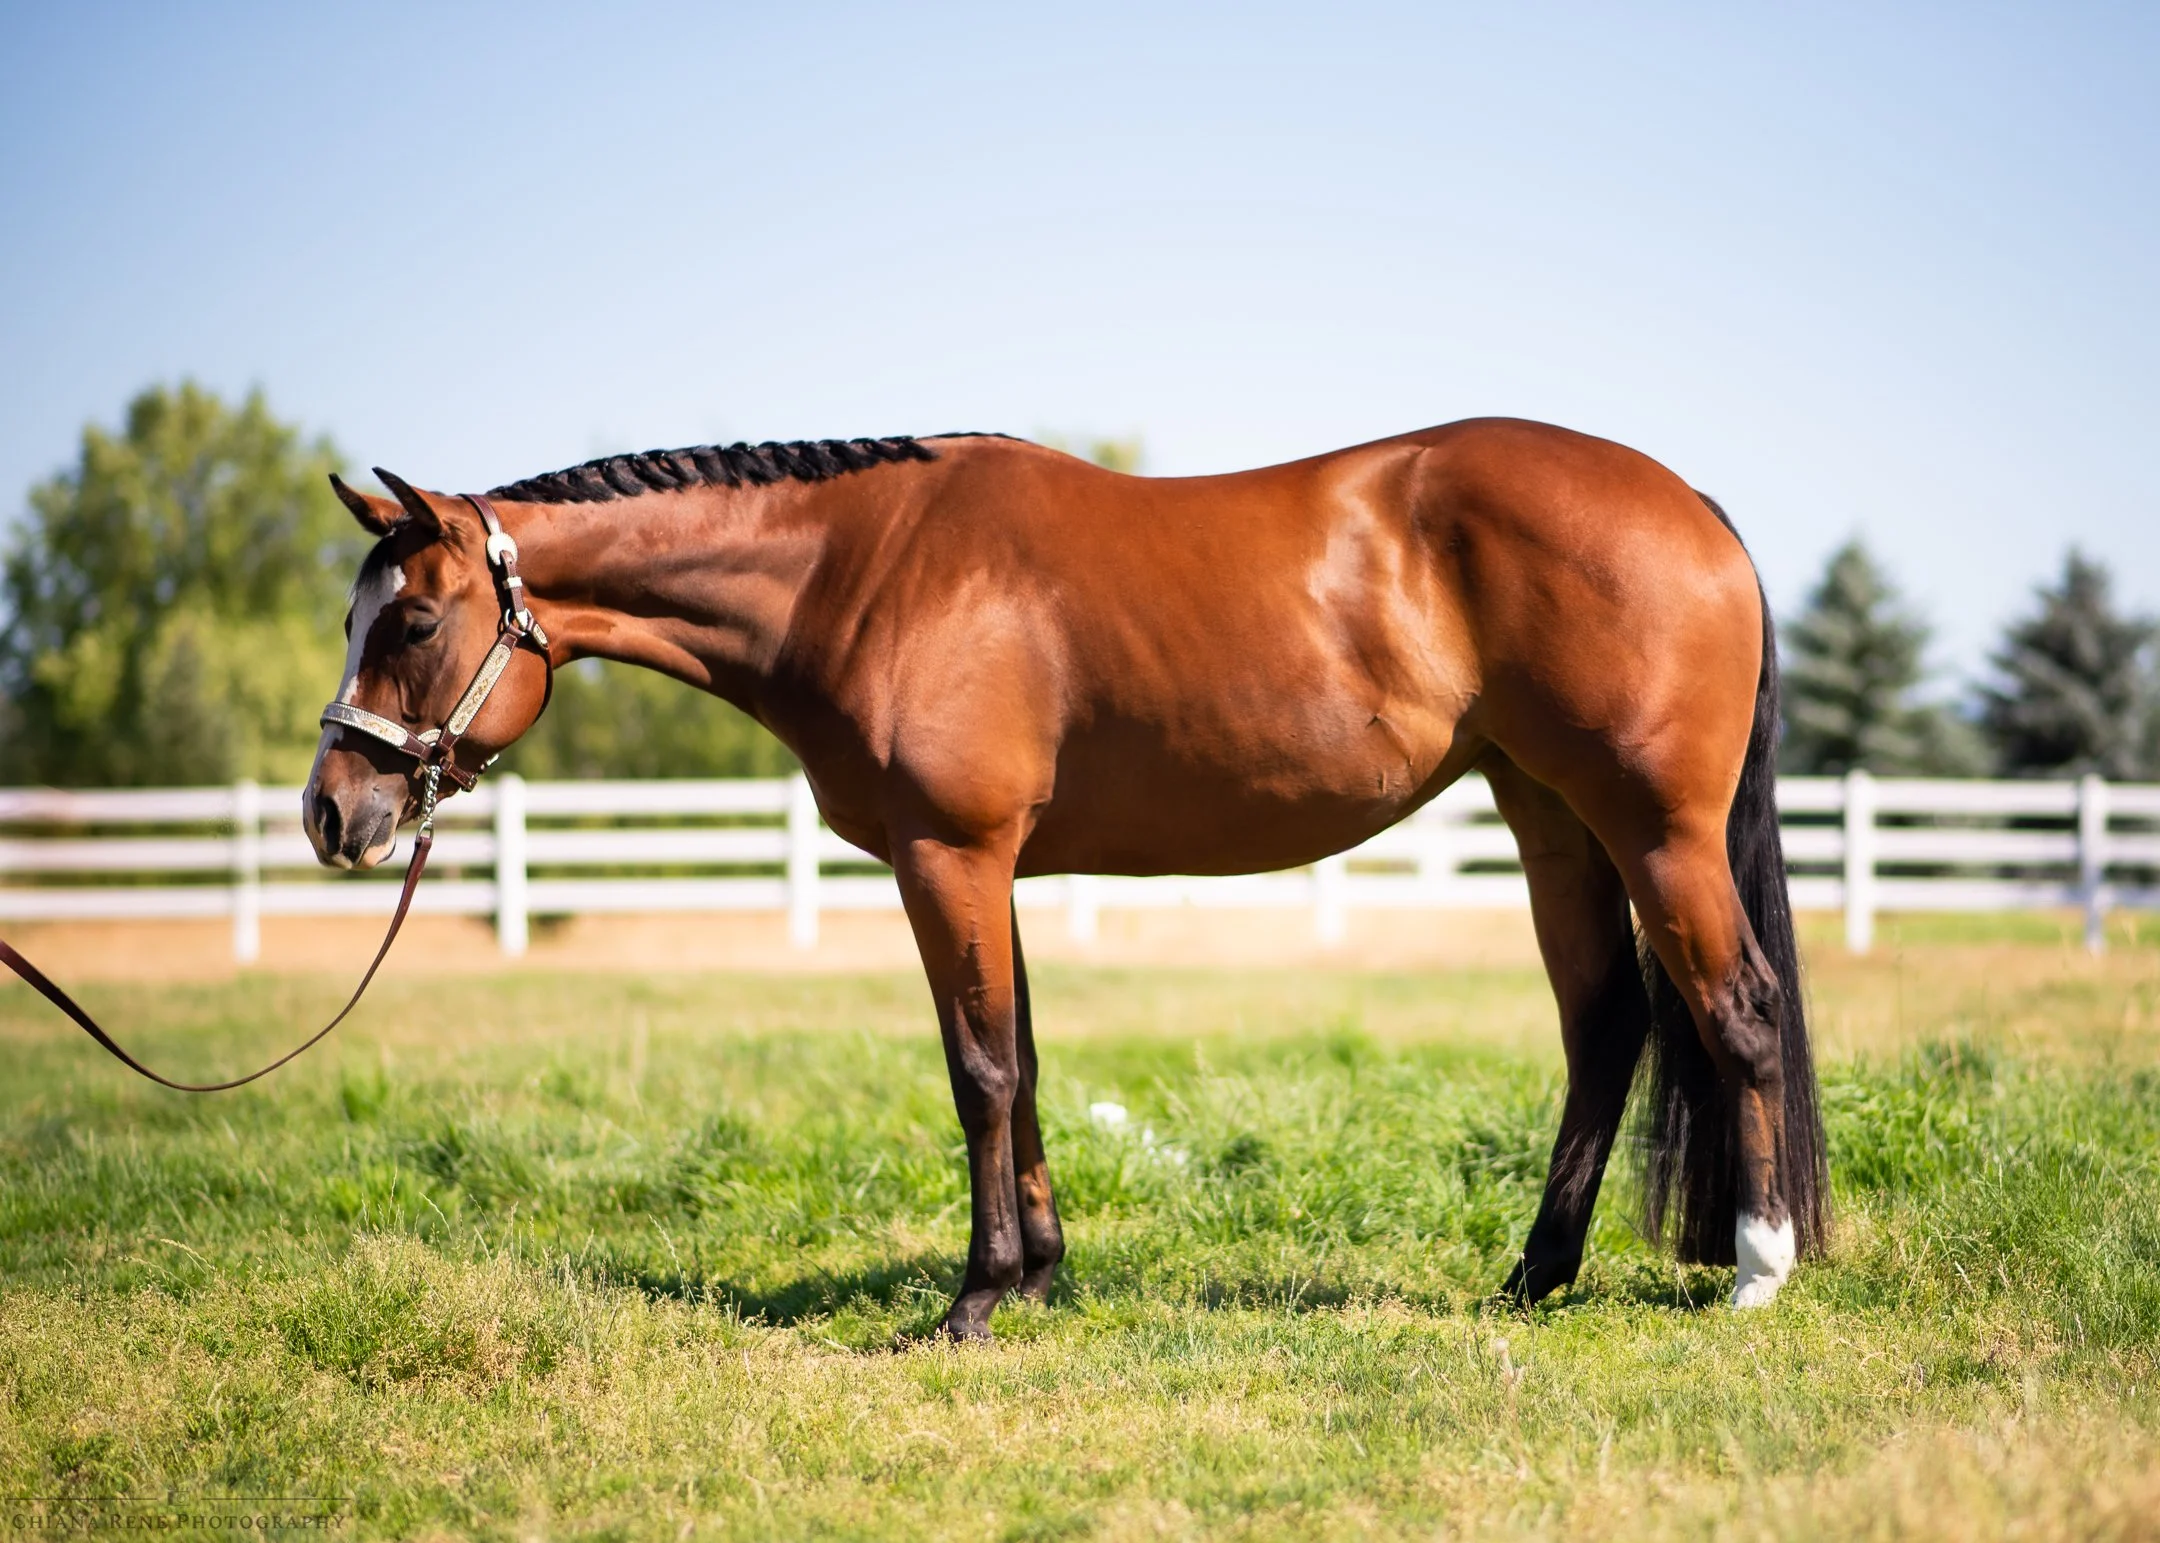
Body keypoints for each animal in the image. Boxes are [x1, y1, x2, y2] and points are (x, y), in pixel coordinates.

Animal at [303, 418, 1827, 1339]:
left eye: (416, 622)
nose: (333, 810)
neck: (861, 568)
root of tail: (1688, 504)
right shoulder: (999, 869)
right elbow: (1023, 1058)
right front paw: (1036, 1277)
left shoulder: (950, 858)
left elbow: (976, 1066)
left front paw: (974, 1300)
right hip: (1547, 814)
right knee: (1607, 1025)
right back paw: (1531, 1276)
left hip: (1654, 828)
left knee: (1737, 1009)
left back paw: (1757, 1269)